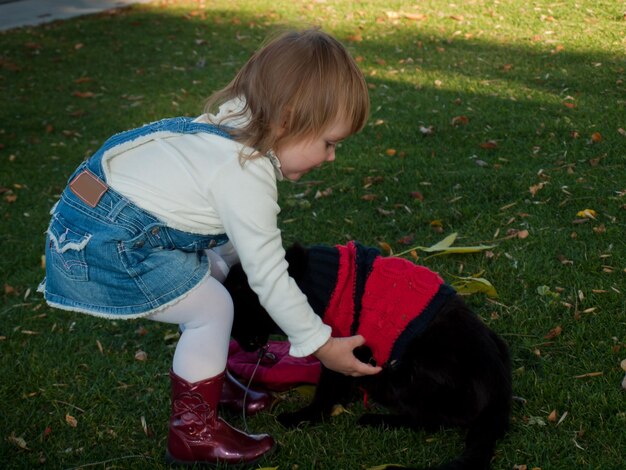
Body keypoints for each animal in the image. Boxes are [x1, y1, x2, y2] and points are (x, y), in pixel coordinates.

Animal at [223, 242, 508, 470]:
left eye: (238, 318)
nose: (245, 346)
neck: (305, 283)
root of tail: (498, 393)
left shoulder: (341, 347)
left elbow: (326, 391)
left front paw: (303, 417)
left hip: (410, 370)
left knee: (430, 420)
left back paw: (376, 417)